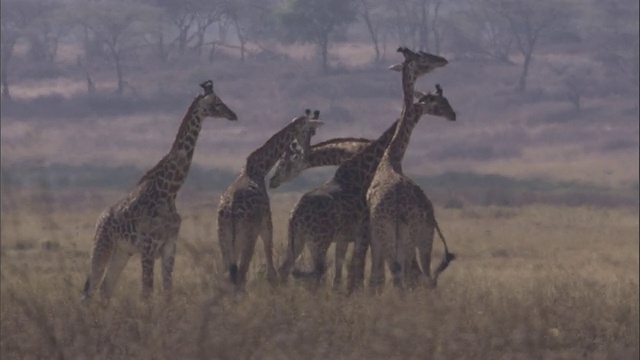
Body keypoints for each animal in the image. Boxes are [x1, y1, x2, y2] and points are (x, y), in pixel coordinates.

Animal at [82, 81, 238, 300]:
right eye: (216, 102)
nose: (233, 114)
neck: (170, 191)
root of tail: (99, 221)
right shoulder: (148, 246)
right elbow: (147, 291)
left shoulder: (169, 245)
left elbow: (167, 290)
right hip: (102, 247)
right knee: (90, 291)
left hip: (121, 252)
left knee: (105, 290)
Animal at [216, 108, 324, 288]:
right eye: (309, 131)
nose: (306, 151)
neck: (258, 168)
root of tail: (230, 211)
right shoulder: (267, 223)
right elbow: (270, 266)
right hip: (247, 236)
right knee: (241, 274)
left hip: (224, 237)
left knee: (229, 275)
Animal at [368, 47, 458, 292]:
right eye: (423, 58)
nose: (443, 60)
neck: (391, 159)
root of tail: (398, 208)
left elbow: (377, 276)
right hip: (407, 236)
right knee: (411, 273)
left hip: (398, 235)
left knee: (404, 272)